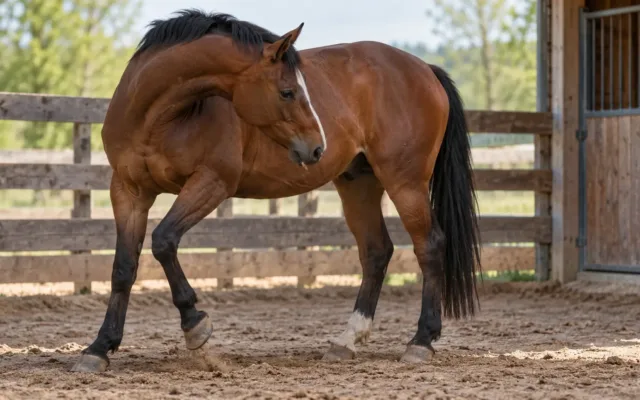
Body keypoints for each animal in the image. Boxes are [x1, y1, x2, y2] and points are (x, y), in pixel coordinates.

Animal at [70, 10, 482, 373]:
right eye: (287, 92)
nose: (317, 147)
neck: (158, 117)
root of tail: (425, 69)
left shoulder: (212, 183)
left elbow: (164, 241)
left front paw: (195, 325)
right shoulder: (128, 193)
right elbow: (123, 268)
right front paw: (99, 348)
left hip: (405, 183)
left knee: (429, 247)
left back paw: (421, 342)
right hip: (359, 185)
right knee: (377, 252)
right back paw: (347, 341)